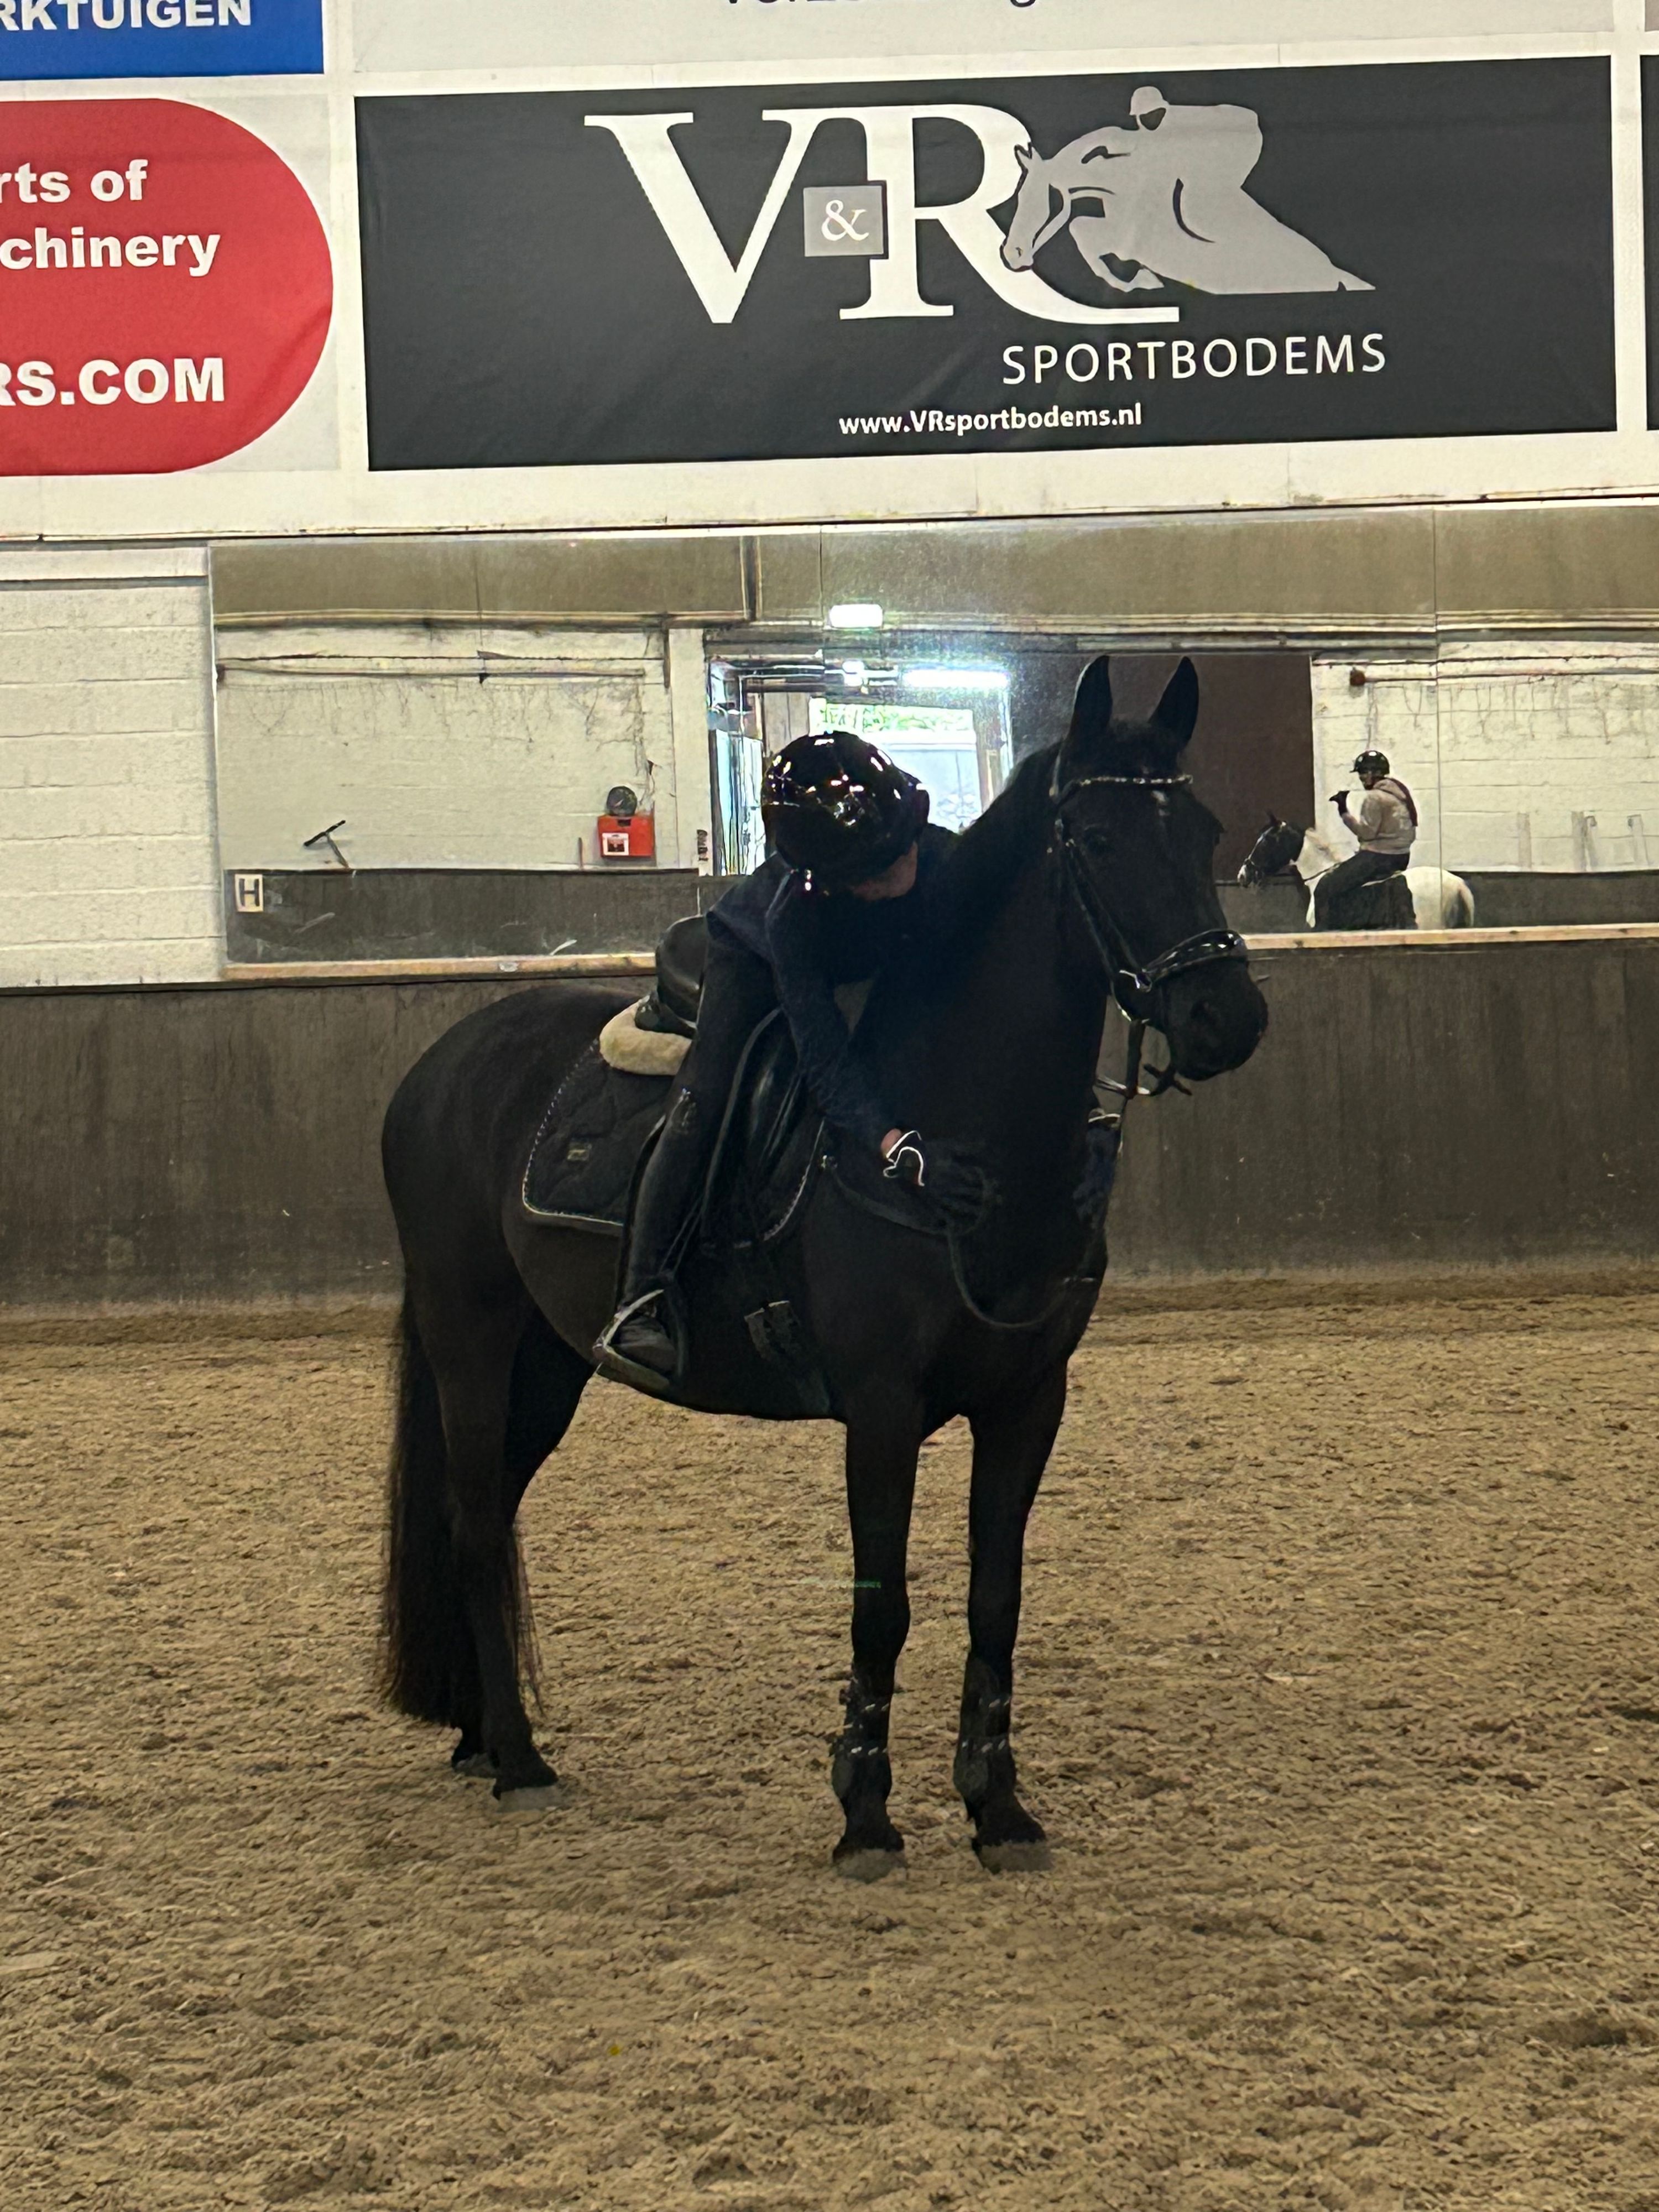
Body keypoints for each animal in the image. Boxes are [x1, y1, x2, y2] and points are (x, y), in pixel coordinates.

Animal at [377, 657, 1269, 1875]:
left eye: (1205, 829)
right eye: (1094, 837)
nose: (1226, 1016)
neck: (964, 1136)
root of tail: (440, 1065)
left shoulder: (1029, 1400)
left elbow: (996, 1600)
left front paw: (999, 1808)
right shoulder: (882, 1410)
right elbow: (882, 1605)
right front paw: (866, 1813)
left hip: (546, 1362)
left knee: (489, 1519)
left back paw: (477, 1732)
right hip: (470, 1338)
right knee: (473, 1524)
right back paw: (516, 1759)